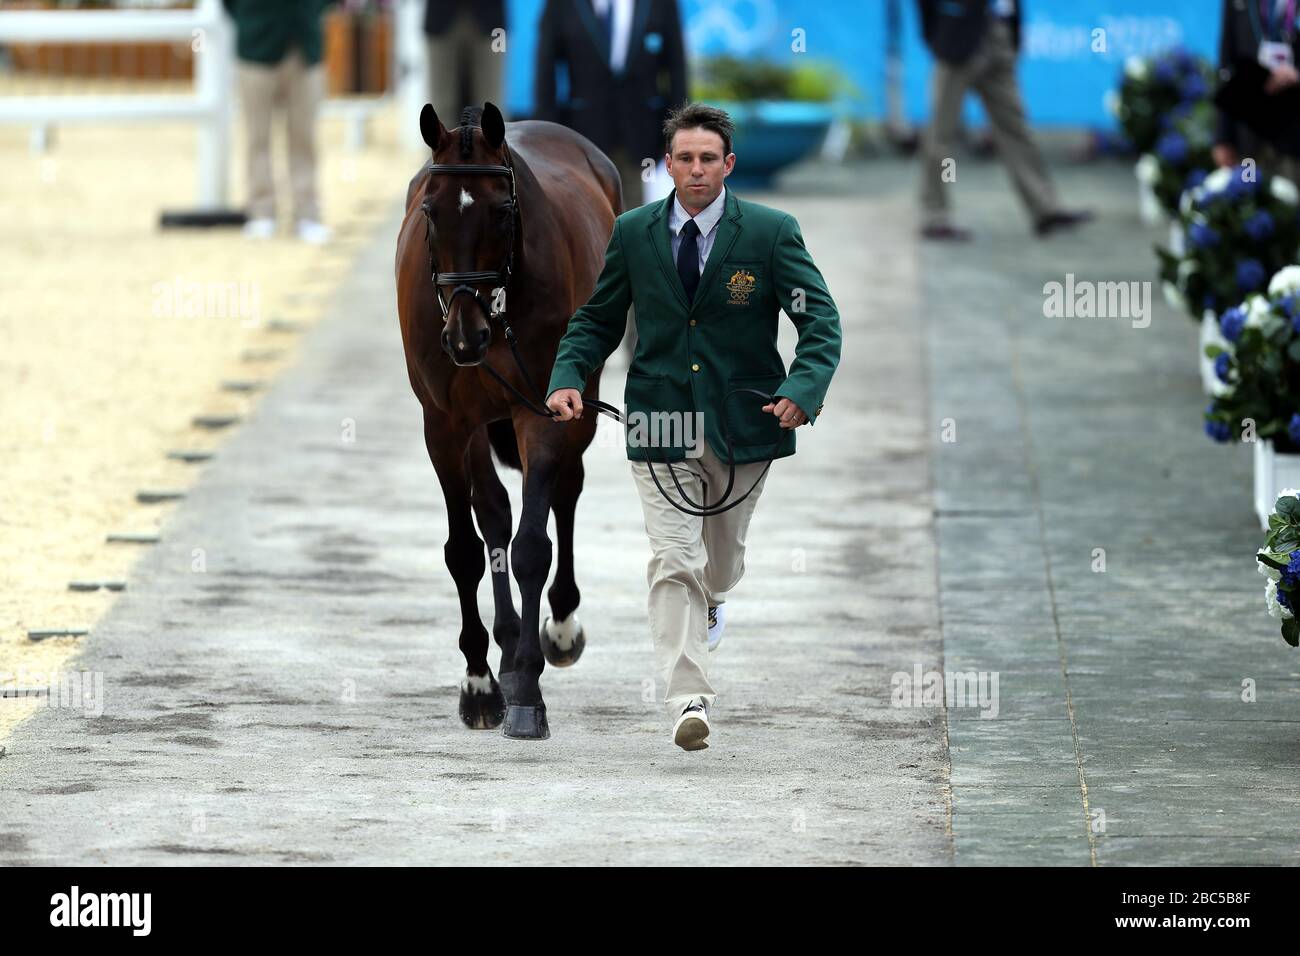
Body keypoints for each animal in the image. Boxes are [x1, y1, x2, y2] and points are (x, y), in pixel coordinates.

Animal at [392, 102, 621, 738]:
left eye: (501, 211)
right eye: (430, 209)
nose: (464, 338)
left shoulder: (540, 407)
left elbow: (532, 546)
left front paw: (526, 690)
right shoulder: (445, 422)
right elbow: (467, 548)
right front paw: (479, 684)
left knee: (566, 491)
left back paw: (556, 628)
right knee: (493, 511)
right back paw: (507, 637)